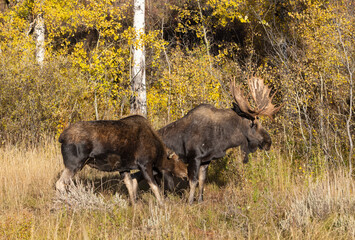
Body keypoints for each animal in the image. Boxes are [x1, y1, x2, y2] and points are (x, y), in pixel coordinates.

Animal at [55, 115, 188, 205]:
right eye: (178, 160)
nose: (186, 173)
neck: (158, 153)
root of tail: (61, 138)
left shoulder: (124, 168)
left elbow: (130, 186)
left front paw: (134, 205)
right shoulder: (145, 165)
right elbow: (155, 187)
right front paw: (162, 205)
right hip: (74, 164)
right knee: (59, 183)